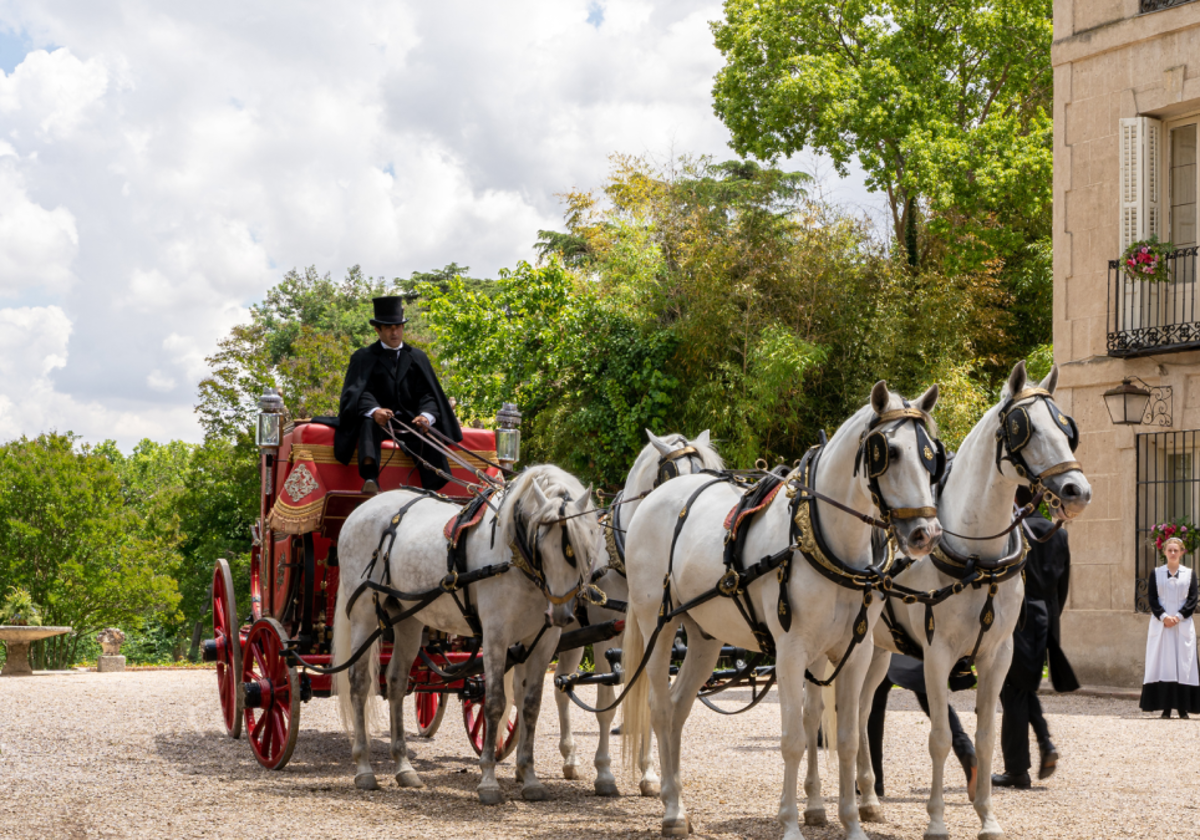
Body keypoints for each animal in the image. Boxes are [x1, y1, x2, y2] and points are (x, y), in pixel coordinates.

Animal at [333, 463, 600, 801]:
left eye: (582, 547)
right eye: (541, 543)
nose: (562, 614)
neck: (514, 557)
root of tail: (363, 508)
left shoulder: (543, 642)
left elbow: (531, 705)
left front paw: (530, 777)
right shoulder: (496, 635)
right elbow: (495, 702)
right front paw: (488, 780)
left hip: (408, 618)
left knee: (395, 682)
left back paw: (404, 767)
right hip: (364, 614)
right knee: (359, 683)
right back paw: (364, 767)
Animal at [549, 429, 720, 796]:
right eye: (673, 477)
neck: (625, 559)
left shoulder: (653, 635)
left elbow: (647, 703)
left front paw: (650, 773)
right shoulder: (606, 638)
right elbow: (606, 704)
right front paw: (605, 773)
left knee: (562, 687)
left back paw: (569, 759)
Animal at [624, 381, 940, 840]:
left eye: (931, 454)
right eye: (889, 452)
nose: (925, 534)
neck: (823, 540)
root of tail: (656, 498)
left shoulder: (856, 653)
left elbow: (847, 737)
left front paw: (852, 823)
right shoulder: (791, 651)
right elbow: (792, 738)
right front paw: (791, 823)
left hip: (704, 637)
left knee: (680, 707)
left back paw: (677, 799)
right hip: (658, 626)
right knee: (661, 708)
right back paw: (671, 809)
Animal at [811, 364, 1094, 840]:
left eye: (1065, 427)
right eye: (1025, 428)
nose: (1077, 491)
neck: (977, 555)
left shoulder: (998, 655)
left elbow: (986, 736)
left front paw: (988, 818)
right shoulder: (937, 655)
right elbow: (942, 738)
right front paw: (937, 821)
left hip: (875, 652)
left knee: (862, 712)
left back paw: (867, 800)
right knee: (813, 710)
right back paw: (814, 804)